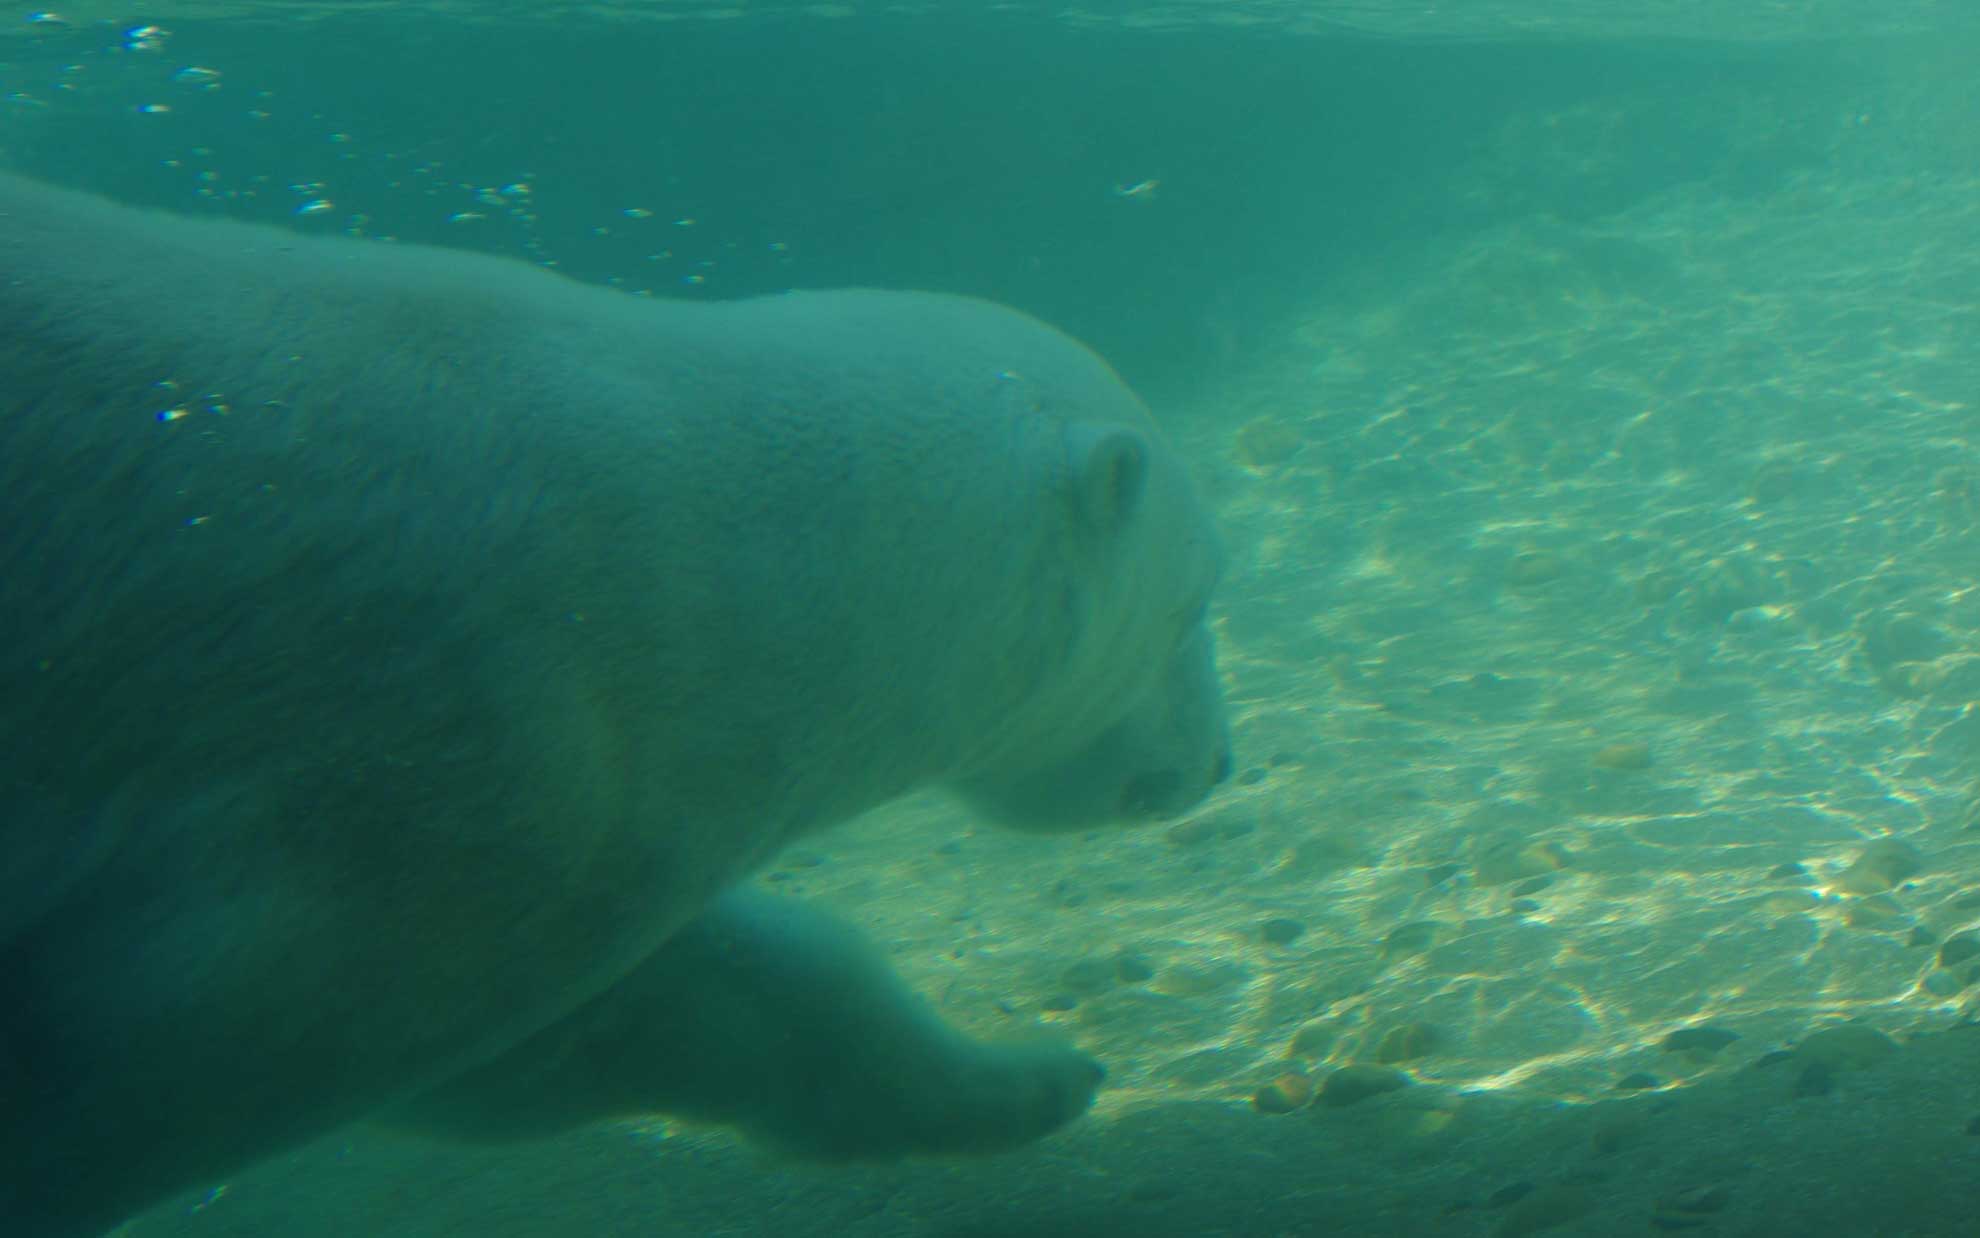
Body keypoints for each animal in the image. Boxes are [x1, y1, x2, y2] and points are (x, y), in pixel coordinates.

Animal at [0, 176, 1219, 1236]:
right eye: (1198, 603)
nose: (1221, 761)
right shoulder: (437, 767)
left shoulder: (522, 823)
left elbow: (620, 1019)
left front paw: (1031, 1080)